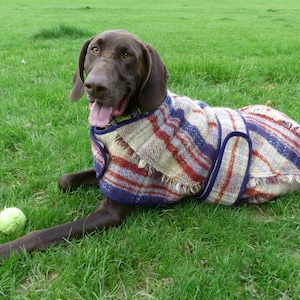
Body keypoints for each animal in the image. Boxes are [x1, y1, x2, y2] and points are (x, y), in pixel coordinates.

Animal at [0, 30, 300, 260]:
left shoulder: (111, 211)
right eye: (95, 49)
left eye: (127, 55)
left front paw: (9, 248)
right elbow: (64, 180)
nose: (94, 86)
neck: (127, 121)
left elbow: (41, 234)